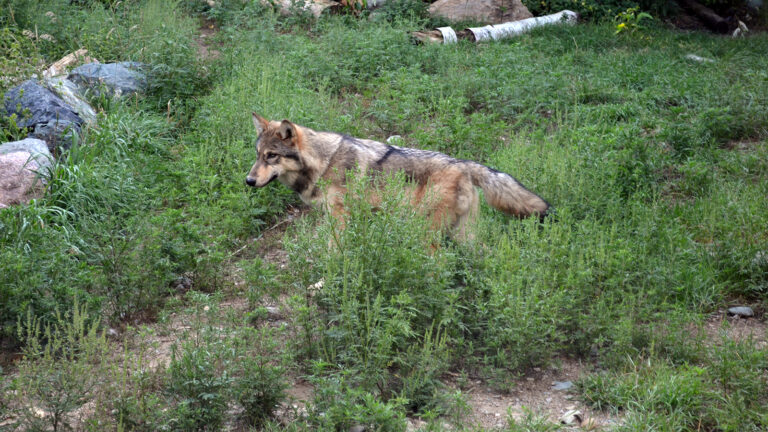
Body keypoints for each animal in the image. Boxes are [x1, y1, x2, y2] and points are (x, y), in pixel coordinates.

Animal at [246, 113, 552, 240]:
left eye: (271, 156)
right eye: (258, 154)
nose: (248, 181)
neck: (324, 162)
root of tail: (464, 164)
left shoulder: (341, 220)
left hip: (428, 234)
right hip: (465, 237)